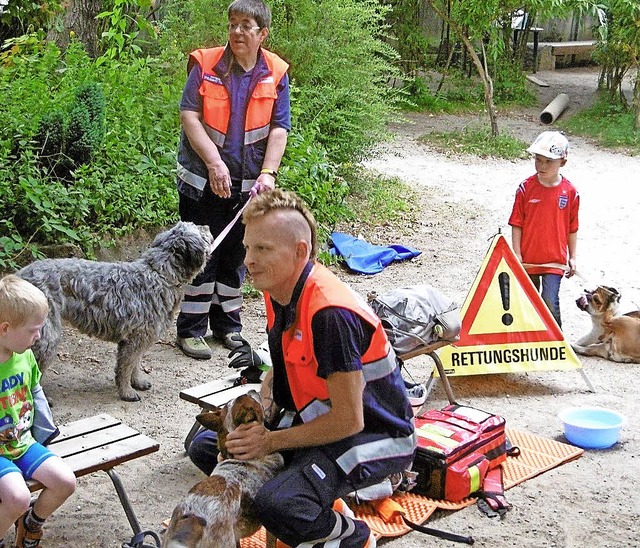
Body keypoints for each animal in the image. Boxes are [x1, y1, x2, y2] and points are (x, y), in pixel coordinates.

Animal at [16, 220, 212, 400]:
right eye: (199, 230)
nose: (208, 227)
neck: (160, 274)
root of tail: (19, 276)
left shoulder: (137, 341)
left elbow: (135, 365)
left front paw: (137, 382)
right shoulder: (135, 340)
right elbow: (126, 368)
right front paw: (126, 392)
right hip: (47, 338)